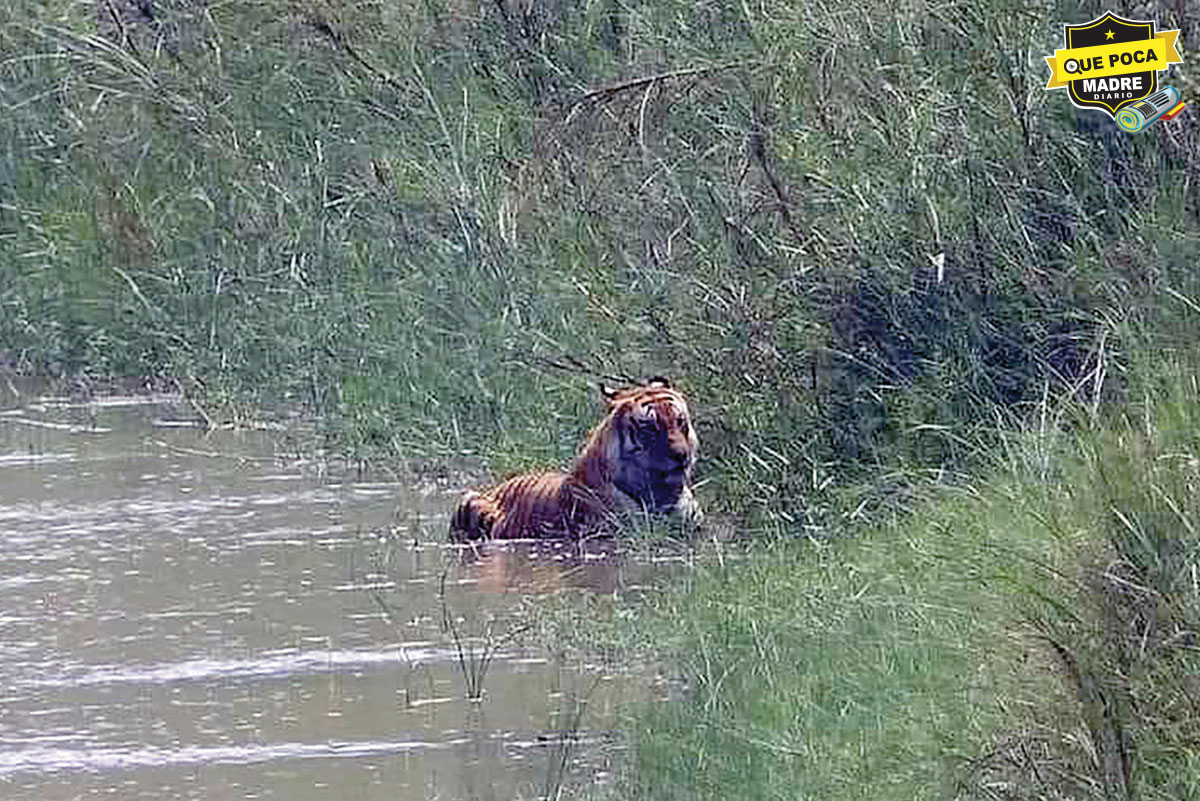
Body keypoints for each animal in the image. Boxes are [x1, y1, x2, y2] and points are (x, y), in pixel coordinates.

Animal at [451, 378, 700, 541]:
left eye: (679, 421)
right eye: (650, 428)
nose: (682, 455)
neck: (660, 491)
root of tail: (497, 486)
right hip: (469, 501)